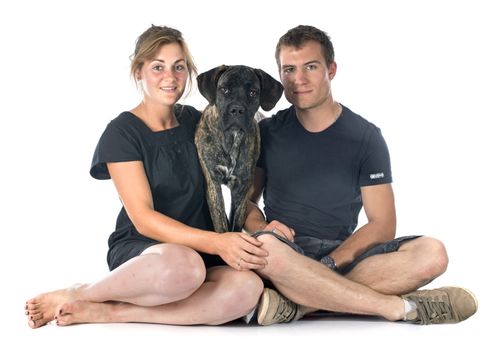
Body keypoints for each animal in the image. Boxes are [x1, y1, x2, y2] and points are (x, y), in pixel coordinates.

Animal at [195, 65, 282, 232]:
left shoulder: (241, 191)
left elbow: (235, 222)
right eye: (224, 89)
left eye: (253, 92)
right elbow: (221, 223)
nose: (237, 109)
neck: (232, 139)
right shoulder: (213, 184)